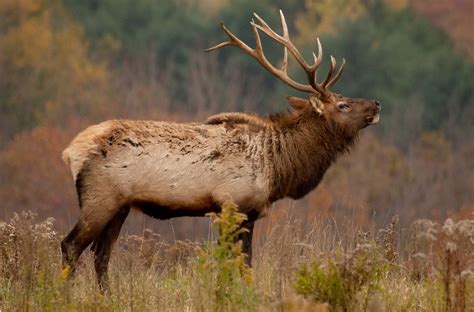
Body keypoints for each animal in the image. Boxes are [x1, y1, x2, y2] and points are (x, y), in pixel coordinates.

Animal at [62, 11, 382, 290]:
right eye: (343, 104)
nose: (377, 104)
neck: (276, 167)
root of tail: (70, 151)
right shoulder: (231, 204)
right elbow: (231, 263)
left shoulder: (249, 214)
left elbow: (245, 265)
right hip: (100, 198)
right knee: (71, 245)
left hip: (121, 206)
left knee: (101, 255)